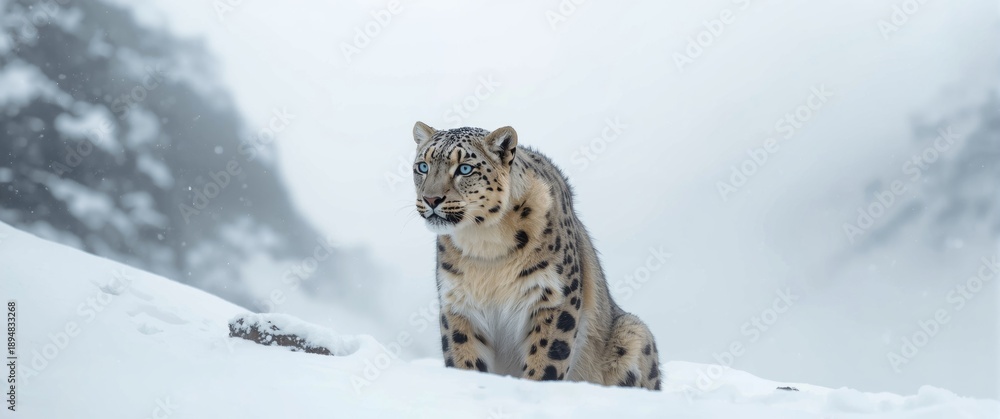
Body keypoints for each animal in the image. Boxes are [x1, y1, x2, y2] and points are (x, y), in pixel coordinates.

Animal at [410, 121, 661, 390]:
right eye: (423, 166)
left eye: (465, 169)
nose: (431, 199)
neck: (485, 247)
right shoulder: (459, 302)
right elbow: (464, 354)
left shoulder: (552, 296)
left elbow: (548, 357)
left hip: (633, 332)